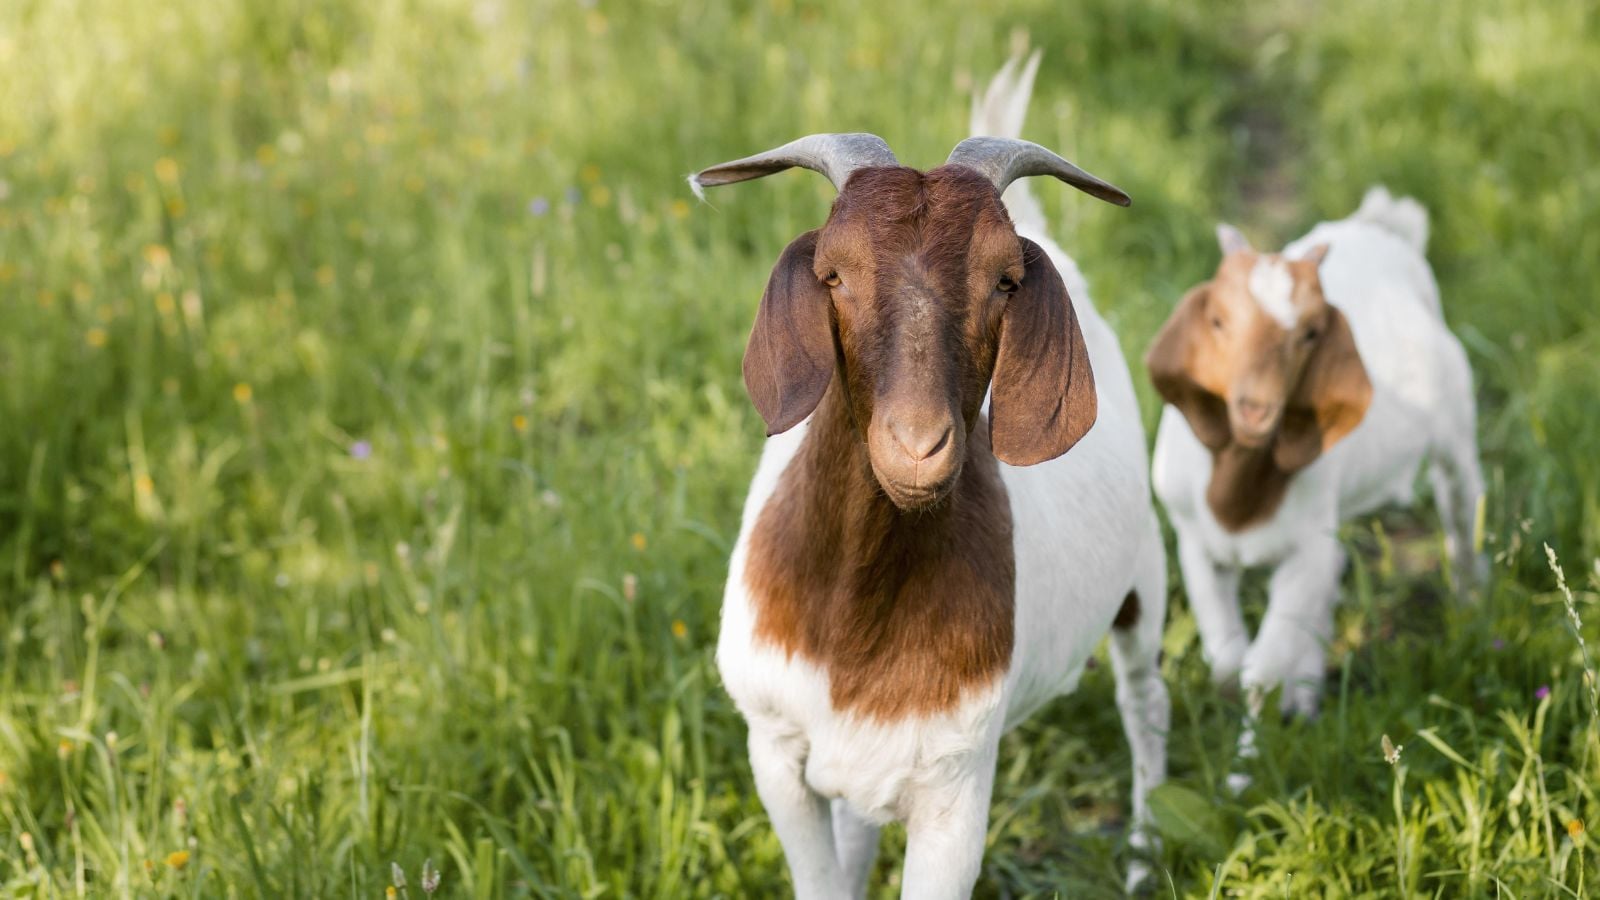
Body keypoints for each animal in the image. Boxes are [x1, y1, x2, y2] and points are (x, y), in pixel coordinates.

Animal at [692, 53, 1169, 898]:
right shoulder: (774, 749)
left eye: (1004, 280)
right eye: (834, 274)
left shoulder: (956, 788)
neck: (853, 625)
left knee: (1147, 703)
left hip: (1143, 581)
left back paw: (1144, 858)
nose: (919, 446)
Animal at [1147, 188, 1485, 735]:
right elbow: (1227, 660)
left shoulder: (1304, 549)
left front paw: (1255, 750)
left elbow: (1261, 670)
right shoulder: (1195, 542)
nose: (1256, 409)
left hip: (1456, 432)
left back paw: (1474, 606)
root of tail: (1380, 226)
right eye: (1217, 320)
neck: (1239, 499)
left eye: (1310, 332)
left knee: (1462, 508)